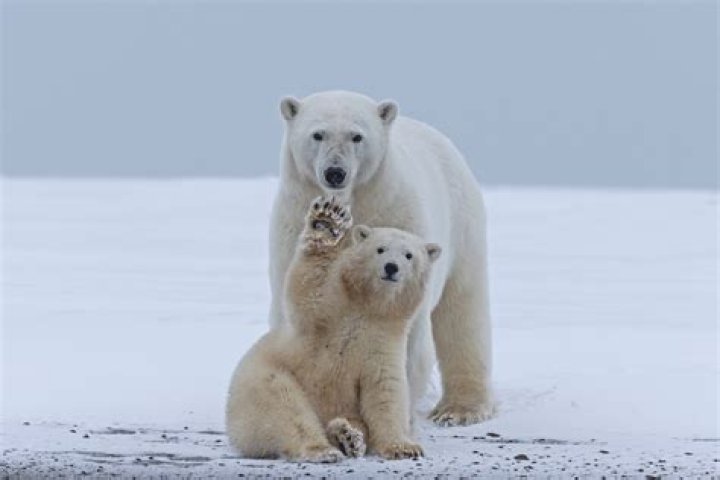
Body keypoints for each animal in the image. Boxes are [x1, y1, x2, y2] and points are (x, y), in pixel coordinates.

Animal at [226, 195, 441, 462]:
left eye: (409, 255)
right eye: (380, 249)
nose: (391, 267)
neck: (367, 307)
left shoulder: (384, 340)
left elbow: (385, 391)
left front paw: (404, 447)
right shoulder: (329, 312)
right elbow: (308, 288)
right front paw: (327, 222)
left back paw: (348, 437)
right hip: (262, 379)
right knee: (285, 407)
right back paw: (323, 449)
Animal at [268, 90, 493, 426]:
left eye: (357, 135)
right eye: (318, 134)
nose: (335, 172)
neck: (351, 202)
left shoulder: (396, 215)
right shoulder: (293, 224)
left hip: (463, 226)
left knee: (462, 310)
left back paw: (460, 409)